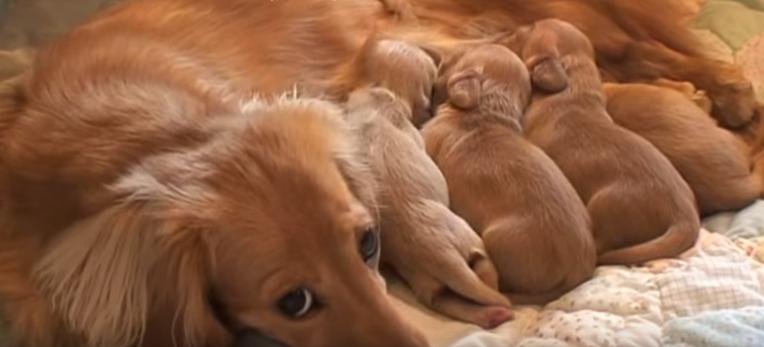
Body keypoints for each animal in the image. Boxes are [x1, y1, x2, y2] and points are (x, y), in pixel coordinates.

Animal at [346, 87, 512, 328]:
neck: (373, 111)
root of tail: (444, 259)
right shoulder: (412, 134)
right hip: (472, 241)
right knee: (487, 279)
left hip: (426, 284)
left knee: (452, 302)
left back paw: (494, 315)